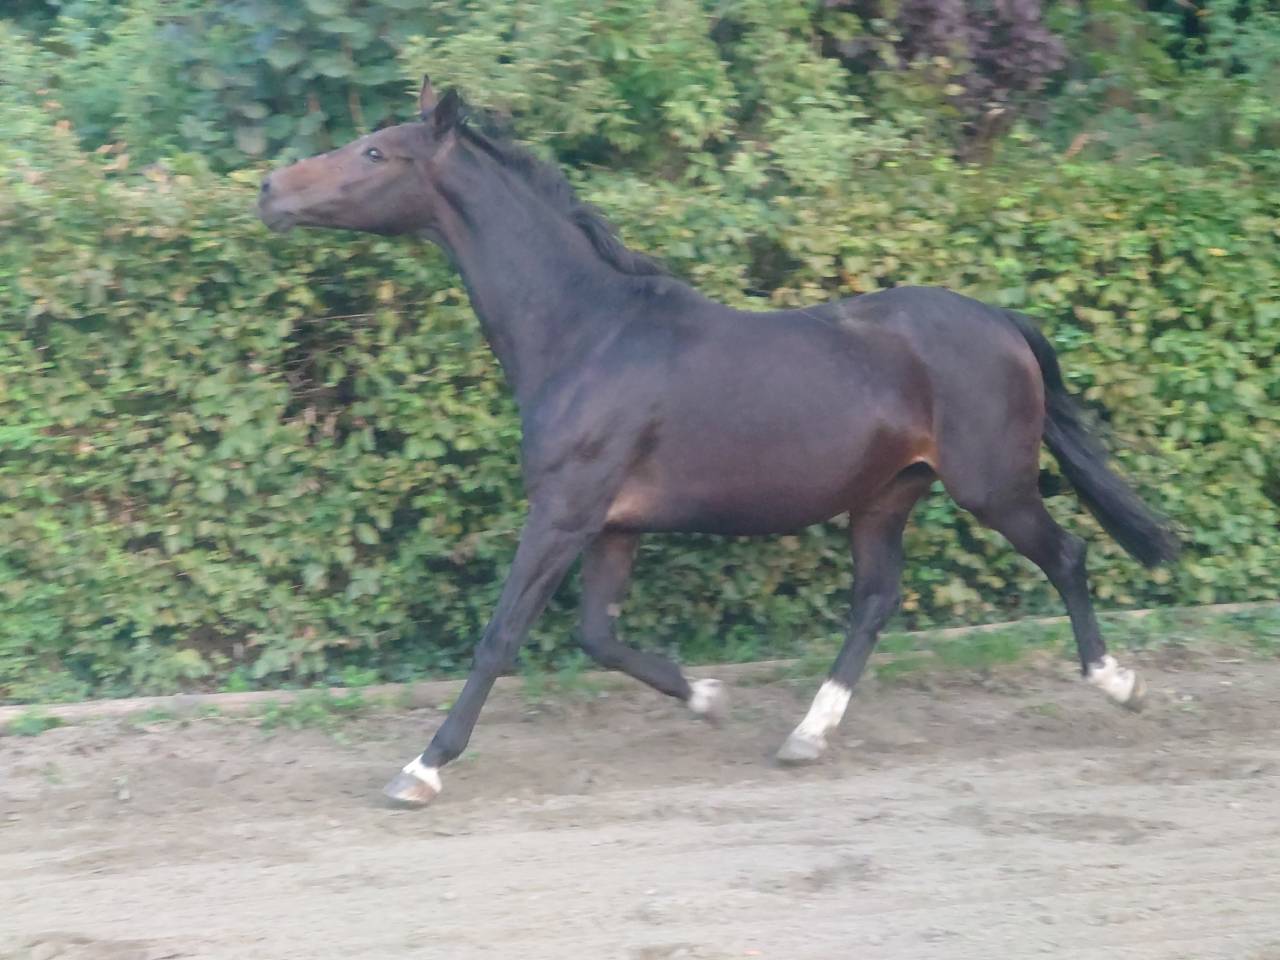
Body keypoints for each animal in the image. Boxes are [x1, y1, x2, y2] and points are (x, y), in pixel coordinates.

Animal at [258, 77, 1179, 807]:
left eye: (375, 151)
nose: (270, 188)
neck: (587, 334)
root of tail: (1001, 320)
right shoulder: (612, 526)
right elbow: (598, 637)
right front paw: (706, 696)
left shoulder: (562, 512)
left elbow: (501, 637)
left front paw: (421, 767)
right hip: (885, 496)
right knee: (876, 599)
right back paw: (806, 735)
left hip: (994, 487)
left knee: (1065, 557)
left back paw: (1119, 683)